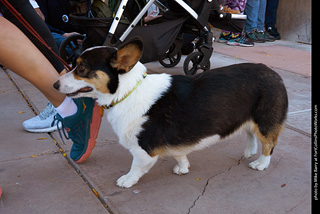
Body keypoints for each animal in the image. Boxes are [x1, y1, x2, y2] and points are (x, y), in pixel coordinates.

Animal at [53, 38, 288, 187]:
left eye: (81, 68)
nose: (54, 85)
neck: (127, 92)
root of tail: (273, 73)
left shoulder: (143, 150)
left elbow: (135, 167)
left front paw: (127, 181)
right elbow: (179, 154)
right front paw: (183, 168)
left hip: (265, 122)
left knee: (269, 144)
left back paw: (260, 163)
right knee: (249, 133)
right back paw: (249, 151)